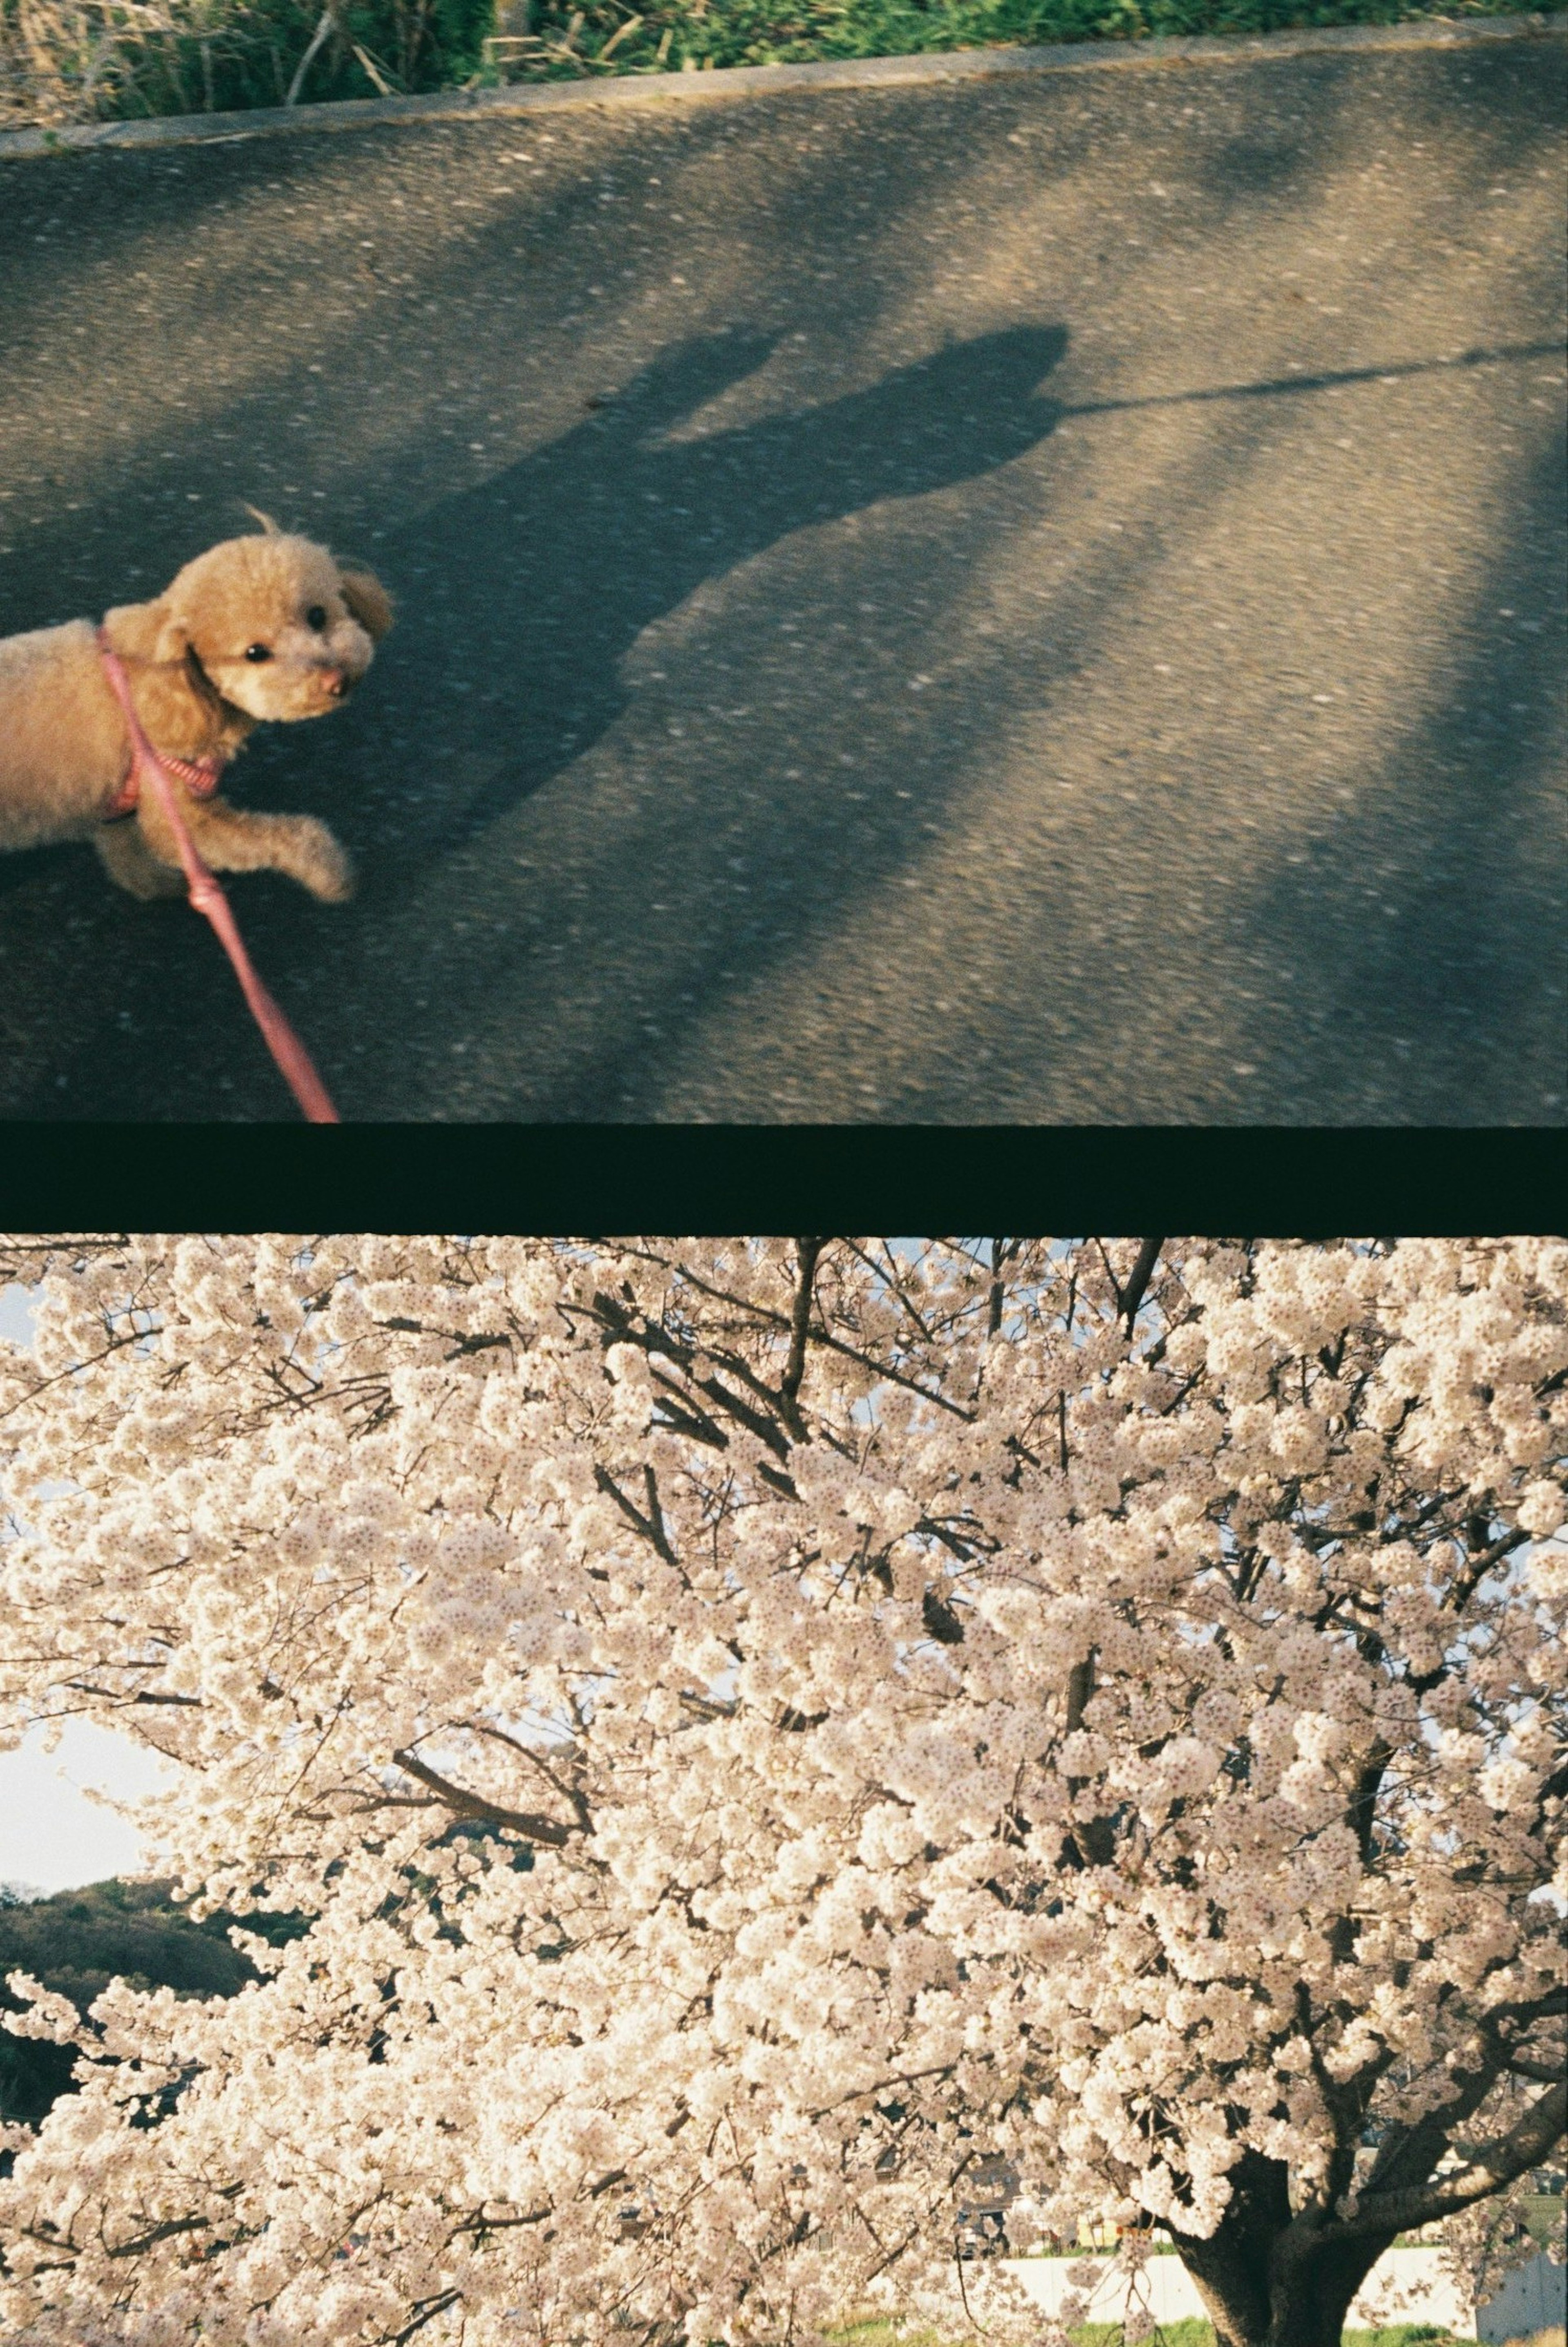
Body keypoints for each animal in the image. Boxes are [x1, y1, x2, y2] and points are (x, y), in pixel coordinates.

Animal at [0, 514, 392, 896]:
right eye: (255, 653)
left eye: (317, 616)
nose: (336, 680)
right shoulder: (177, 811)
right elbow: (286, 837)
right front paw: (330, 871)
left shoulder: (118, 805)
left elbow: (124, 850)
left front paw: (155, 884)